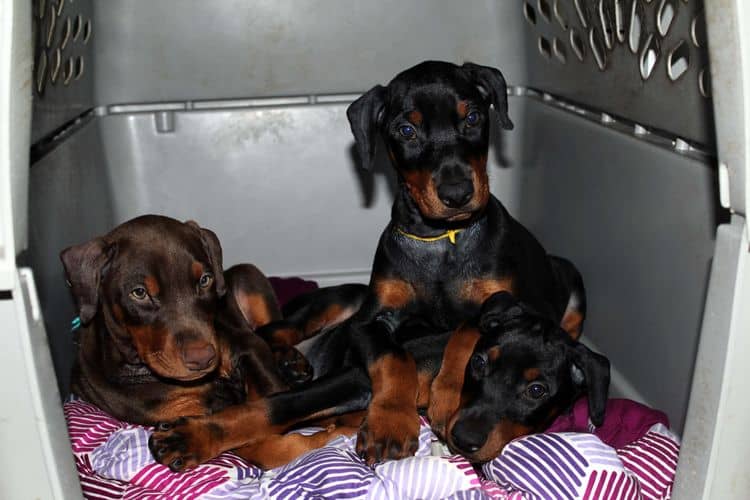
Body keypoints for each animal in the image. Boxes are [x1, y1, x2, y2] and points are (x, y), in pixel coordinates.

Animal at [61, 215, 344, 468]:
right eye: (139, 292)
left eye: (205, 279)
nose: (204, 358)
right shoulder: (181, 409)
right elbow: (257, 444)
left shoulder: (245, 346)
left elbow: (268, 401)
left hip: (247, 277)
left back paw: (290, 360)